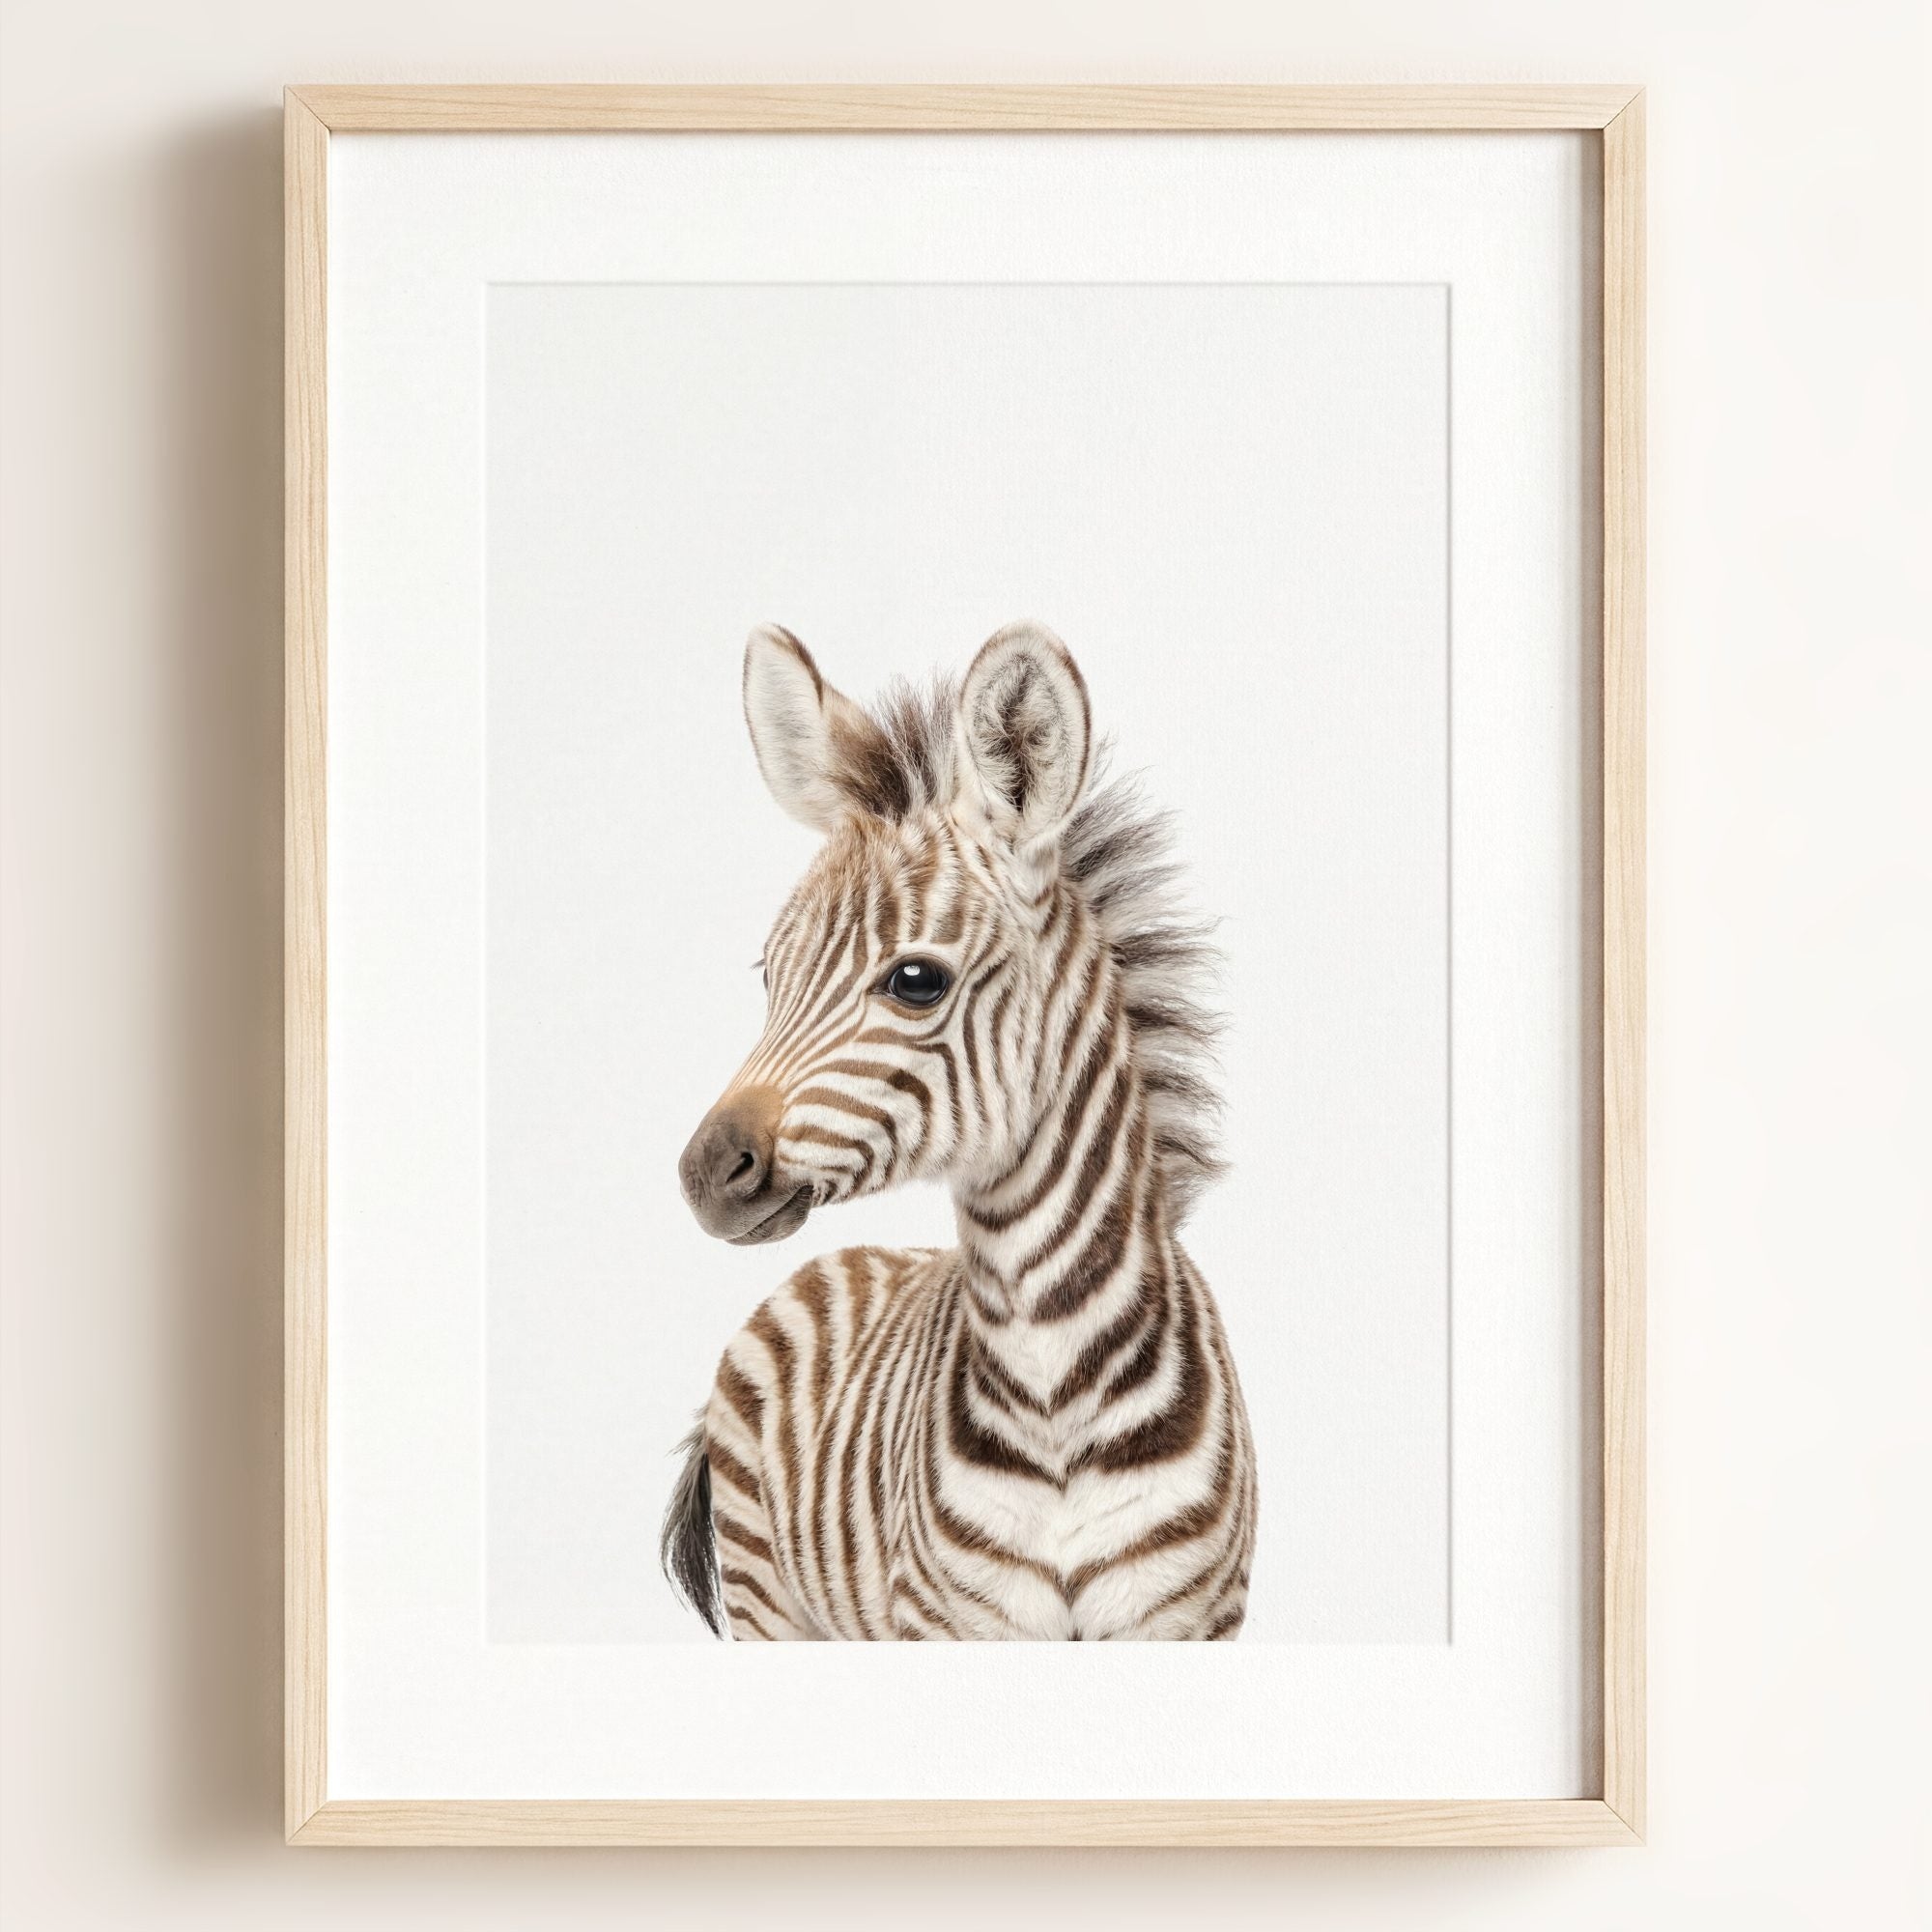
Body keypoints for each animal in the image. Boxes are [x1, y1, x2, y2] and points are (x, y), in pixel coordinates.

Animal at [661, 620, 1257, 1640]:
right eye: (770, 975)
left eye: (916, 981)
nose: (705, 1172)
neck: (1055, 1385)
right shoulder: (950, 1624)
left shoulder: (1190, 1621)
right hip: (768, 1599)